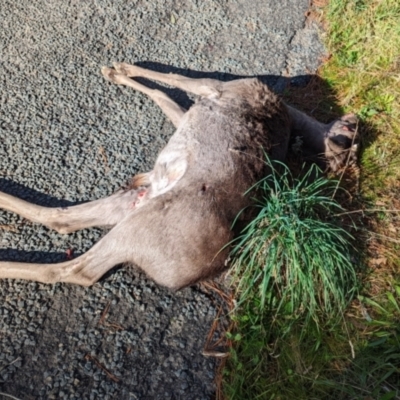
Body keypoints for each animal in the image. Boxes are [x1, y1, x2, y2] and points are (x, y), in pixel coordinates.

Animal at [0, 61, 358, 288]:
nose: (354, 122)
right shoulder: (191, 111)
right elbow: (164, 95)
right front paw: (118, 70)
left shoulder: (214, 87)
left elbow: (171, 80)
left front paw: (118, 68)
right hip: (133, 204)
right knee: (61, 218)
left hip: (140, 224)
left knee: (76, 269)